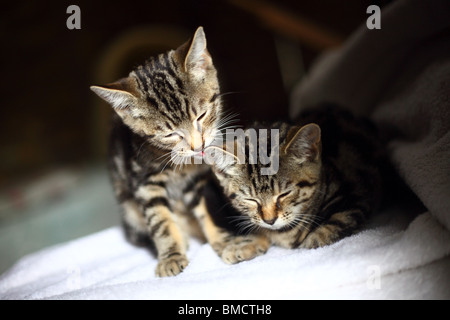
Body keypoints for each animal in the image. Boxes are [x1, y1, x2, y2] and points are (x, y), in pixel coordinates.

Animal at [91, 26, 253, 278]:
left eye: (201, 116)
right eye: (170, 134)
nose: (198, 146)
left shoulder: (198, 179)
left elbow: (207, 210)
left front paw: (226, 241)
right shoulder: (144, 181)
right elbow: (160, 220)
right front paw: (171, 256)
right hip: (130, 213)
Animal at [207, 105, 384, 250]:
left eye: (284, 194)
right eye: (251, 200)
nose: (269, 221)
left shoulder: (358, 195)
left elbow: (339, 221)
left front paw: (313, 240)